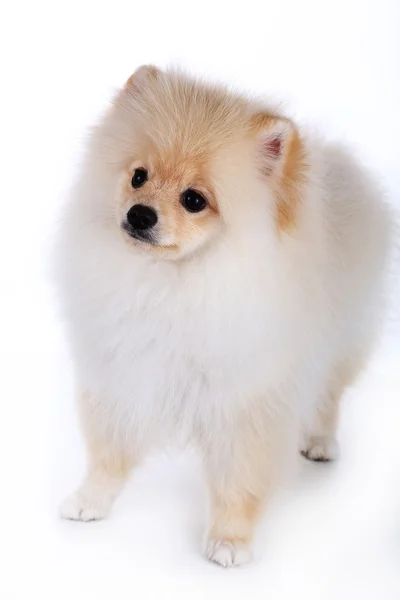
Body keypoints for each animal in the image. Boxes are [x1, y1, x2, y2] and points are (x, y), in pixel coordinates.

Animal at [54, 65, 392, 568]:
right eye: (138, 176)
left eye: (195, 200)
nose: (140, 214)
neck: (175, 283)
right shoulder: (122, 375)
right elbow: (108, 451)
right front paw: (91, 499)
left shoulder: (243, 401)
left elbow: (238, 480)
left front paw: (230, 540)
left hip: (342, 337)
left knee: (328, 394)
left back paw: (319, 442)